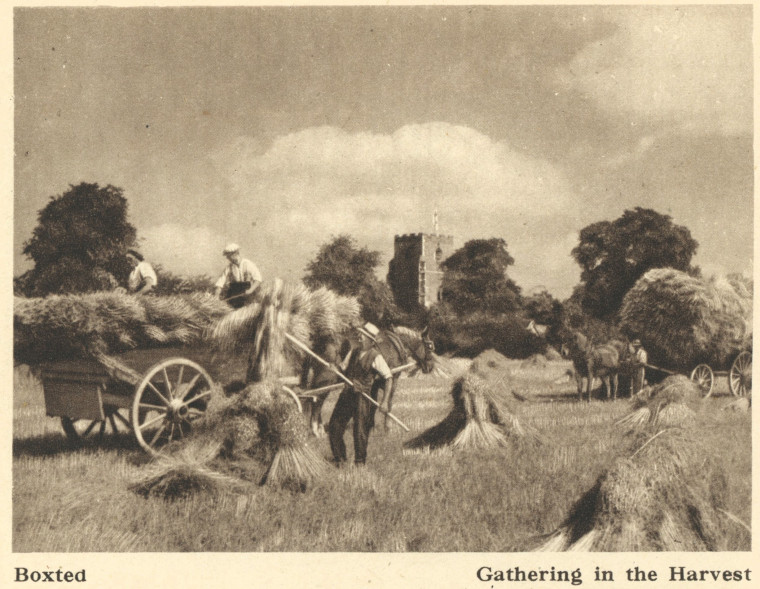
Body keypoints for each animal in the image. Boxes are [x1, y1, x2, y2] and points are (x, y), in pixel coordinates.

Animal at [300, 324, 436, 434]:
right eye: (430, 346)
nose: (430, 367)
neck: (395, 345)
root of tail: (320, 341)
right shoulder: (393, 379)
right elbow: (388, 403)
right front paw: (387, 428)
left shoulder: (373, 383)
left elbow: (373, 404)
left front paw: (370, 426)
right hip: (326, 379)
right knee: (317, 400)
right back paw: (315, 429)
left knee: (313, 397)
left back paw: (319, 428)